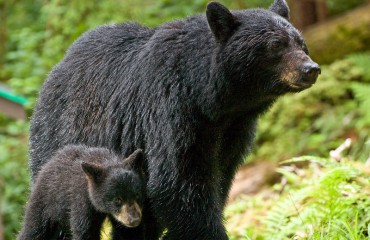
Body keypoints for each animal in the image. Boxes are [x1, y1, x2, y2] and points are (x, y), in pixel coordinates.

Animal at [28, 0, 320, 239]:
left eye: (300, 42)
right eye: (276, 44)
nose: (311, 69)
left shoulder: (234, 130)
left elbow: (219, 178)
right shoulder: (171, 111)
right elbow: (177, 183)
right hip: (62, 142)